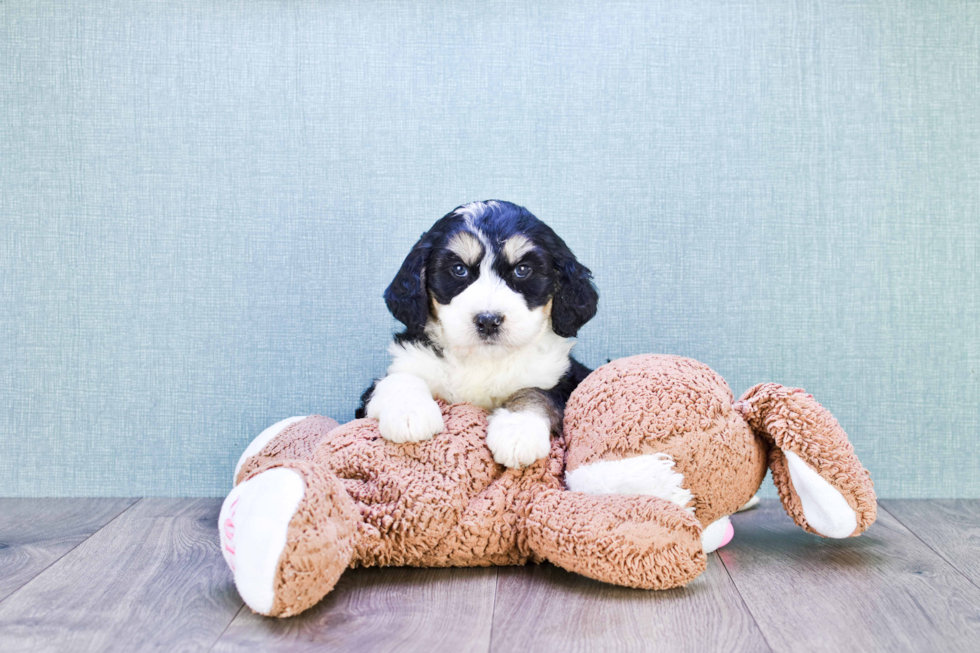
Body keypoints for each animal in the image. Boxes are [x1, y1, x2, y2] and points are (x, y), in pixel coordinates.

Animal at [354, 199, 592, 468]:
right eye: (459, 269)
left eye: (522, 270)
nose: (488, 321)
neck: (482, 360)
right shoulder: (402, 365)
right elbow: (399, 379)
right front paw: (409, 413)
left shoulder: (566, 380)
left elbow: (536, 393)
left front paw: (518, 430)